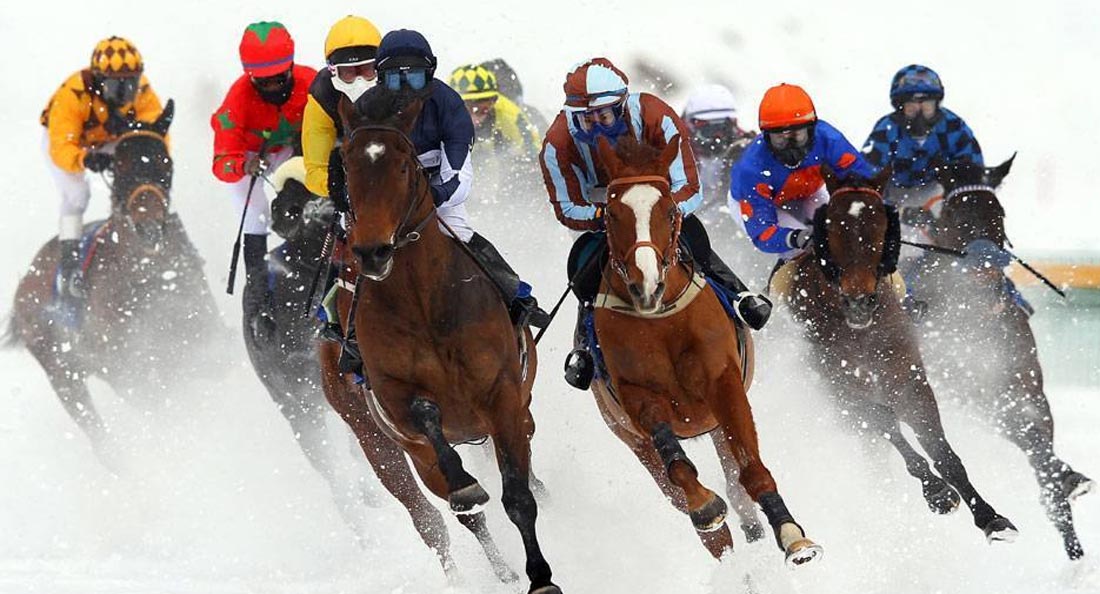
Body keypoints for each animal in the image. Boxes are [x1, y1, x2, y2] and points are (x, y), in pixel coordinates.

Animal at [5, 101, 225, 464]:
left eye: (166, 162)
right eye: (121, 164)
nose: (149, 227)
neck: (148, 272)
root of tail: (24, 288)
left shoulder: (201, 325)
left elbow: (215, 356)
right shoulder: (127, 369)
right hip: (64, 374)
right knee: (100, 434)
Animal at [316, 89, 558, 594]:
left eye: (405, 165)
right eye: (345, 165)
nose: (372, 251)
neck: (422, 303)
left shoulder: (502, 393)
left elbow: (518, 496)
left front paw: (541, 578)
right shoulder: (395, 402)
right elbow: (429, 422)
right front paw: (469, 488)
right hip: (381, 445)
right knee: (440, 514)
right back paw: (493, 569)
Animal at [589, 133, 822, 567]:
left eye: (668, 209)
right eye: (611, 213)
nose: (646, 285)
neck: (662, 321)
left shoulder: (723, 383)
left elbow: (751, 470)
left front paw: (793, 536)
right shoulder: (636, 396)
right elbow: (682, 475)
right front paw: (705, 507)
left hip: (713, 426)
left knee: (735, 488)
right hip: (627, 435)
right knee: (687, 504)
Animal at [774, 166, 1020, 543]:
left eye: (880, 228)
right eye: (831, 230)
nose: (859, 302)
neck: (860, 330)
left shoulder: (910, 378)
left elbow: (940, 448)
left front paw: (990, 516)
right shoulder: (846, 390)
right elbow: (887, 424)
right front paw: (937, 492)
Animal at [906, 156, 1095, 556]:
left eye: (999, 211)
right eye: (954, 213)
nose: (987, 264)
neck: (973, 314)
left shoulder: (1027, 384)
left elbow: (1040, 445)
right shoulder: (971, 394)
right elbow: (1025, 435)